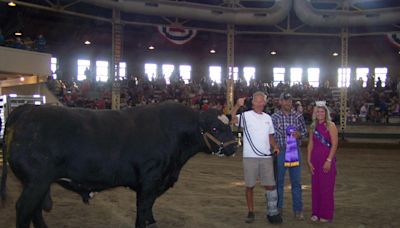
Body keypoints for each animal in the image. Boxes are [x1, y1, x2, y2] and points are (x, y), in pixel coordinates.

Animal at [0, 102, 238, 228]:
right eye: (215, 129)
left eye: (229, 127)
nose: (235, 146)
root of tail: (29, 108)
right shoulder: (150, 180)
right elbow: (143, 208)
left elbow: (149, 210)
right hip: (36, 181)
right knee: (24, 209)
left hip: (38, 183)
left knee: (35, 211)